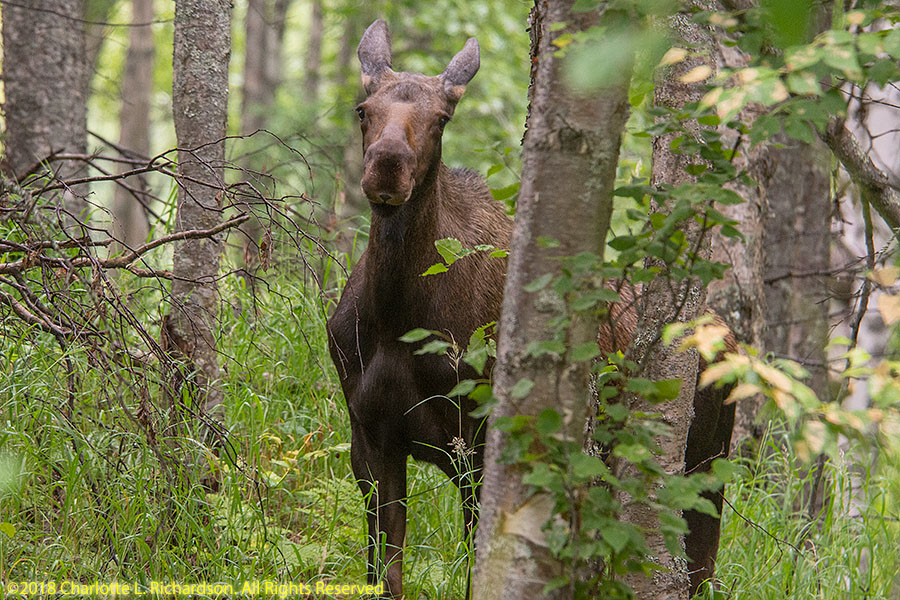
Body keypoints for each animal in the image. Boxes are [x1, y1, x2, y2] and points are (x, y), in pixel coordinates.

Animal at [326, 19, 735, 599]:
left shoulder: (479, 447)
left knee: (698, 567)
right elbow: (385, 571)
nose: (387, 168)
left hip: (704, 466)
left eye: (442, 118)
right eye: (363, 109)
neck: (397, 318)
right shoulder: (369, 439)